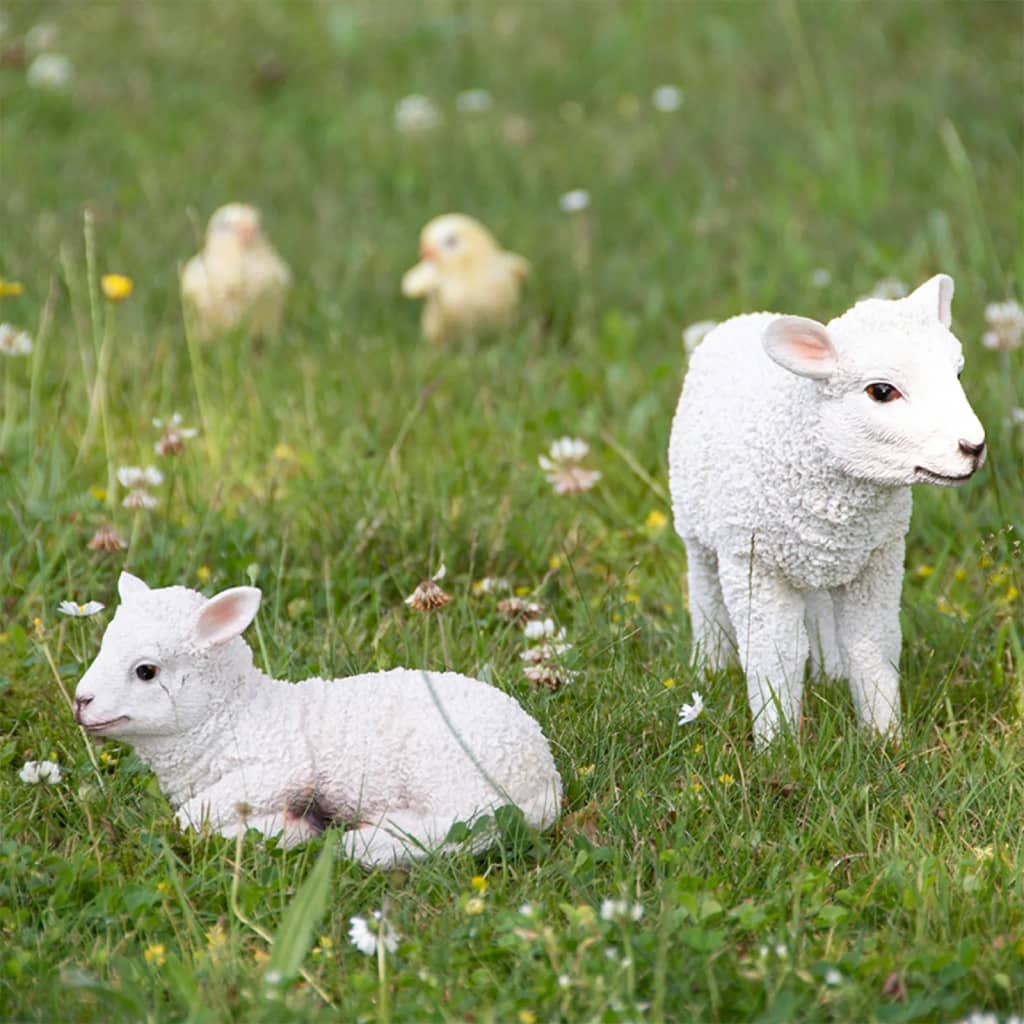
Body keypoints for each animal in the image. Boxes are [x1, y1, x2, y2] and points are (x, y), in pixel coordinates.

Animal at [73, 573, 563, 866]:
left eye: (146, 671)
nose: (80, 701)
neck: (233, 715)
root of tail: (545, 772)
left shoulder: (281, 766)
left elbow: (191, 819)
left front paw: (286, 830)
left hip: (449, 766)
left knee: (479, 824)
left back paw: (370, 842)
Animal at [668, 274, 986, 744]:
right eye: (881, 391)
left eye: (958, 374)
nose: (973, 447)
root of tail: (742, 319)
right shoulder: (753, 562)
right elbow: (773, 653)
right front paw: (777, 745)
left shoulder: (878, 557)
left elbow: (873, 643)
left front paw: (885, 738)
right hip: (697, 526)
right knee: (705, 591)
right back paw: (709, 667)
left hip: (815, 555)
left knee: (817, 608)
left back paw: (830, 674)